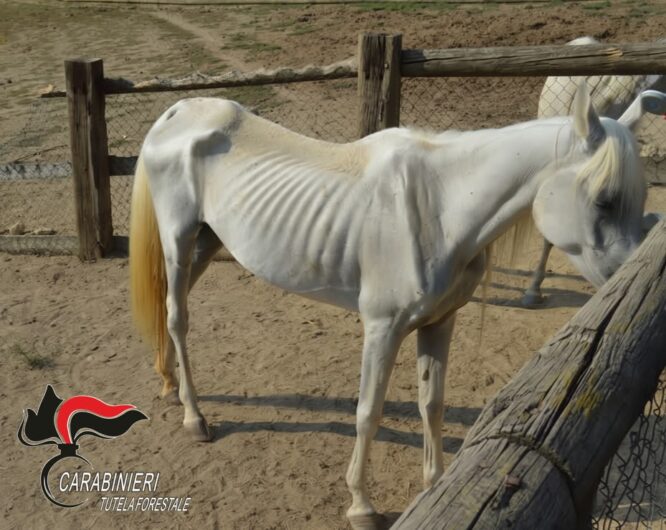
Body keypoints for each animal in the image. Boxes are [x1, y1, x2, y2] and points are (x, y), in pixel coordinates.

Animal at [129, 83, 659, 530]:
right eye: (605, 199)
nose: (630, 275)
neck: (443, 207)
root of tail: (178, 113)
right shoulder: (382, 328)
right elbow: (369, 411)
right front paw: (361, 506)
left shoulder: (440, 323)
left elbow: (432, 403)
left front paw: (435, 486)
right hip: (178, 244)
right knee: (178, 319)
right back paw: (194, 418)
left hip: (207, 242)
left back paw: (169, 384)